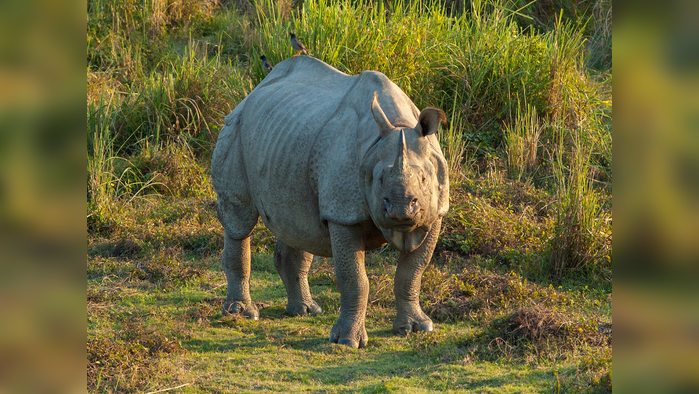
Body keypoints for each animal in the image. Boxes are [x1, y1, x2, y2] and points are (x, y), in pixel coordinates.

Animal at [212, 56, 448, 348]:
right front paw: (347, 341)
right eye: (379, 179)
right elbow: (354, 279)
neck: (399, 124)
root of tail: (254, 91)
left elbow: (412, 272)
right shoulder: (342, 213)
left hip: (287, 138)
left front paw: (418, 328)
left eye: (425, 179)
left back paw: (305, 311)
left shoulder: (435, 213)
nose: (401, 209)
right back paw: (243, 314)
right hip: (235, 126)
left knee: (299, 223)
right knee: (239, 220)